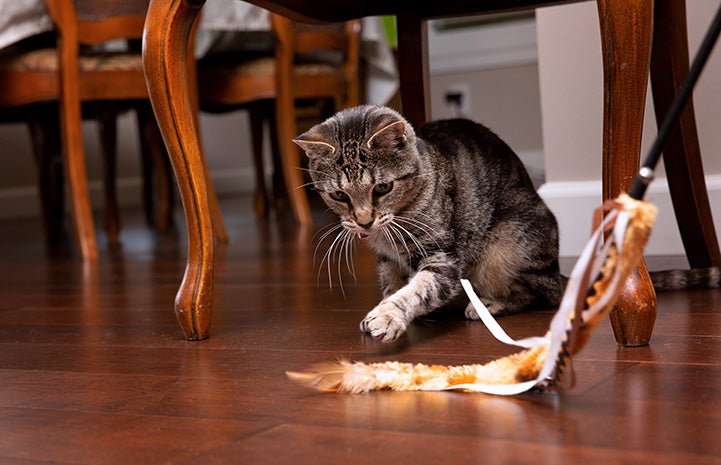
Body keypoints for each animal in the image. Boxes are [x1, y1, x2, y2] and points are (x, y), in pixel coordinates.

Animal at [292, 104, 564, 340]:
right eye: (339, 195)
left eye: (382, 187)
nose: (364, 221)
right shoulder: (387, 259)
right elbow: (391, 285)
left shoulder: (441, 257)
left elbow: (418, 290)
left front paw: (387, 315)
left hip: (503, 248)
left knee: (541, 292)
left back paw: (488, 303)